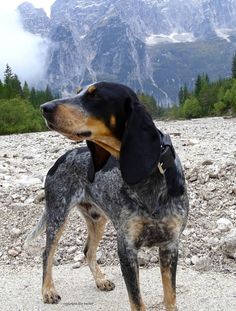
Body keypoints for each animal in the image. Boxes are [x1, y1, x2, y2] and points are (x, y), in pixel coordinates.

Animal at [27, 82, 189, 311]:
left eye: (95, 96)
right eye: (78, 93)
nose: (44, 107)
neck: (150, 178)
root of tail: (60, 159)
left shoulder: (170, 246)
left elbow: (170, 298)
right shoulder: (126, 249)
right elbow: (137, 301)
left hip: (97, 220)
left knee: (88, 251)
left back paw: (100, 280)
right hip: (57, 215)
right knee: (47, 254)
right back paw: (48, 290)